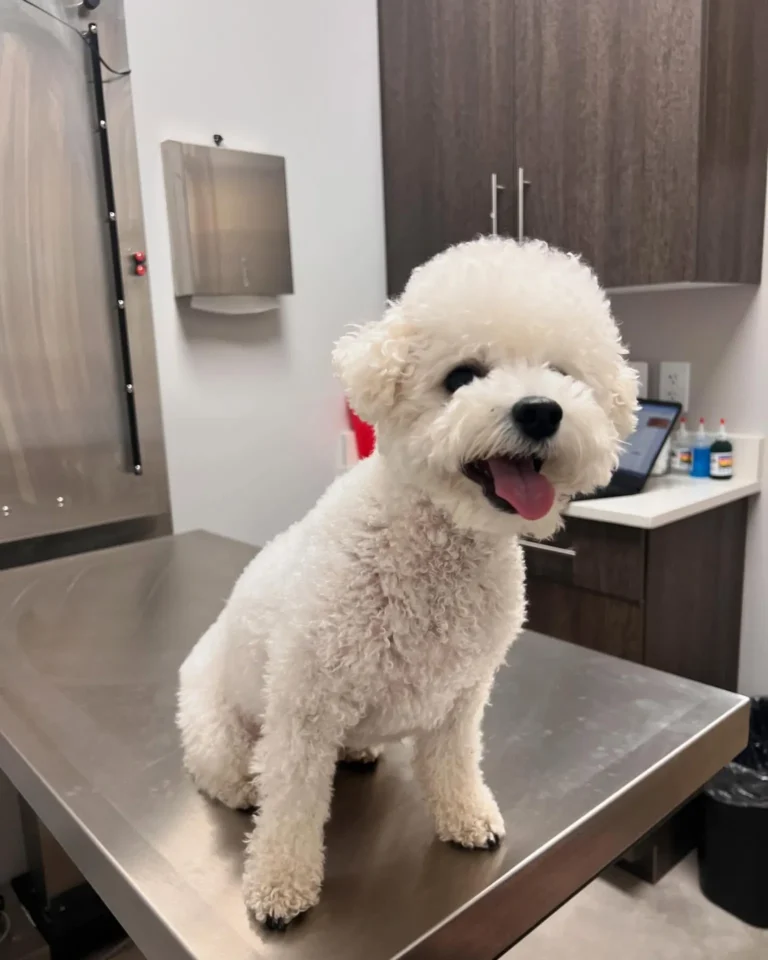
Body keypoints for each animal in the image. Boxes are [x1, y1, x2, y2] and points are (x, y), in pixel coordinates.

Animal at [177, 236, 638, 929]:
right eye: (462, 376)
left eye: (563, 374)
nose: (540, 410)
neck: (437, 550)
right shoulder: (303, 711)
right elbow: (291, 807)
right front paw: (280, 885)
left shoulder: (461, 699)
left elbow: (455, 766)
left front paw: (468, 818)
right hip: (218, 728)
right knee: (232, 776)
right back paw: (242, 790)